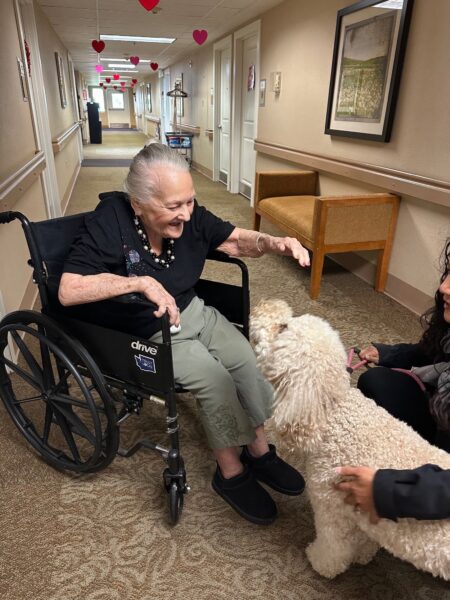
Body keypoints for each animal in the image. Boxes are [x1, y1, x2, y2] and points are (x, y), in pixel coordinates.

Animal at [250, 300, 450, 580]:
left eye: (283, 327)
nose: (265, 304)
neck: (334, 413)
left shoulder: (332, 507)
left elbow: (334, 548)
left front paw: (320, 562)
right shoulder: (361, 516)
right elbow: (364, 541)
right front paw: (364, 556)